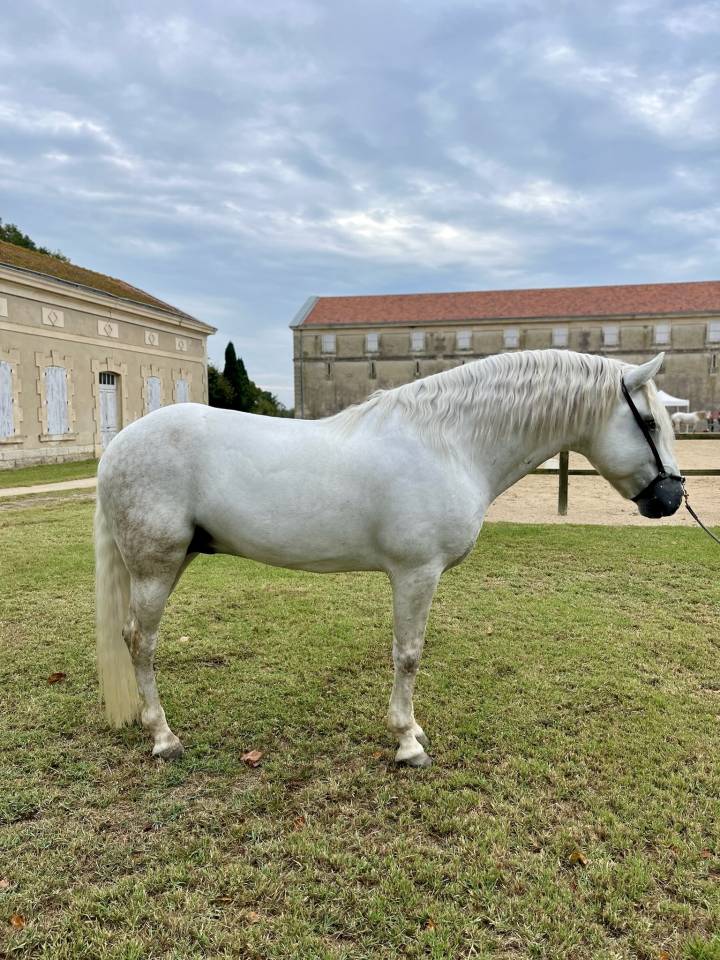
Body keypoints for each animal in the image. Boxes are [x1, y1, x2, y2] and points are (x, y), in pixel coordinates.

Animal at [95, 349, 681, 768]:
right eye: (650, 424)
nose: (672, 497)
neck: (448, 443)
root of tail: (118, 445)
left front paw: (411, 731)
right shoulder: (416, 574)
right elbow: (408, 654)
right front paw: (407, 743)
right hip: (156, 567)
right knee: (141, 642)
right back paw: (163, 736)